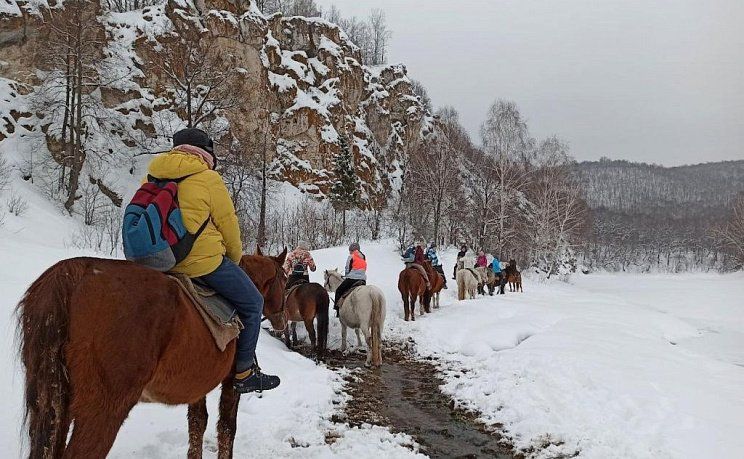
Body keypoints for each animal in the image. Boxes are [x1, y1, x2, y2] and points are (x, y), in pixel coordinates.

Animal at [17, 252, 286, 459]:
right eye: (284, 278)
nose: (283, 321)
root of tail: (75, 276)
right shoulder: (232, 382)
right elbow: (227, 428)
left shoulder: (196, 386)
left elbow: (197, 424)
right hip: (102, 409)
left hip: (56, 405)